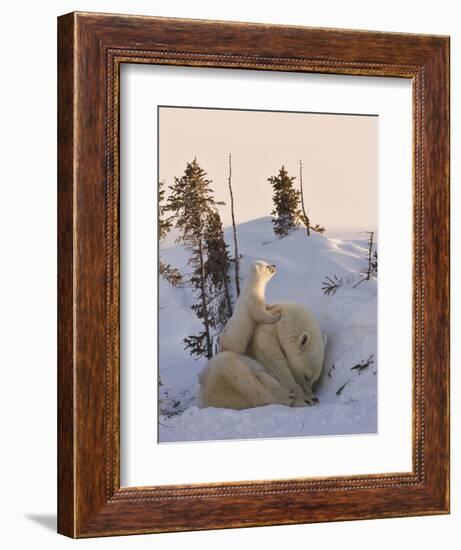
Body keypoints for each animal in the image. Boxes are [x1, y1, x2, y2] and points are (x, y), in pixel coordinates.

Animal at [198, 262, 328, 410]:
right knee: (240, 376)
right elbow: (274, 362)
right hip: (222, 368)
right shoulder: (266, 331)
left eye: (315, 379)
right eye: (306, 376)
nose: (311, 392)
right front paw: (304, 397)